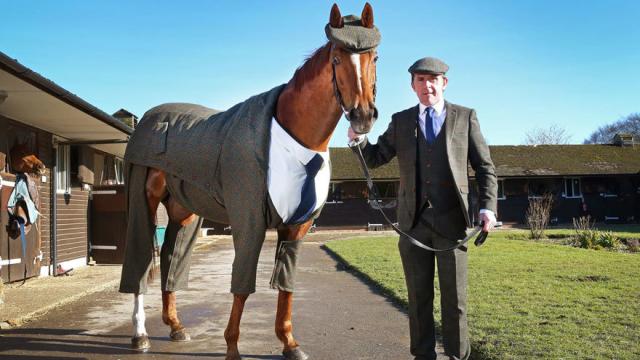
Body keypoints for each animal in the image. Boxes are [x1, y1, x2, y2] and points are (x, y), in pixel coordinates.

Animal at [122, 3, 378, 360]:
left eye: (375, 57)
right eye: (338, 59)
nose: (362, 116)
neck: (291, 138)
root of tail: (148, 118)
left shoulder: (296, 227)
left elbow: (285, 286)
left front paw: (290, 343)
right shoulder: (249, 221)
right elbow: (242, 286)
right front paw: (232, 346)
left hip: (183, 212)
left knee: (170, 262)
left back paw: (175, 326)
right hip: (143, 202)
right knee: (141, 263)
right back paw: (140, 335)